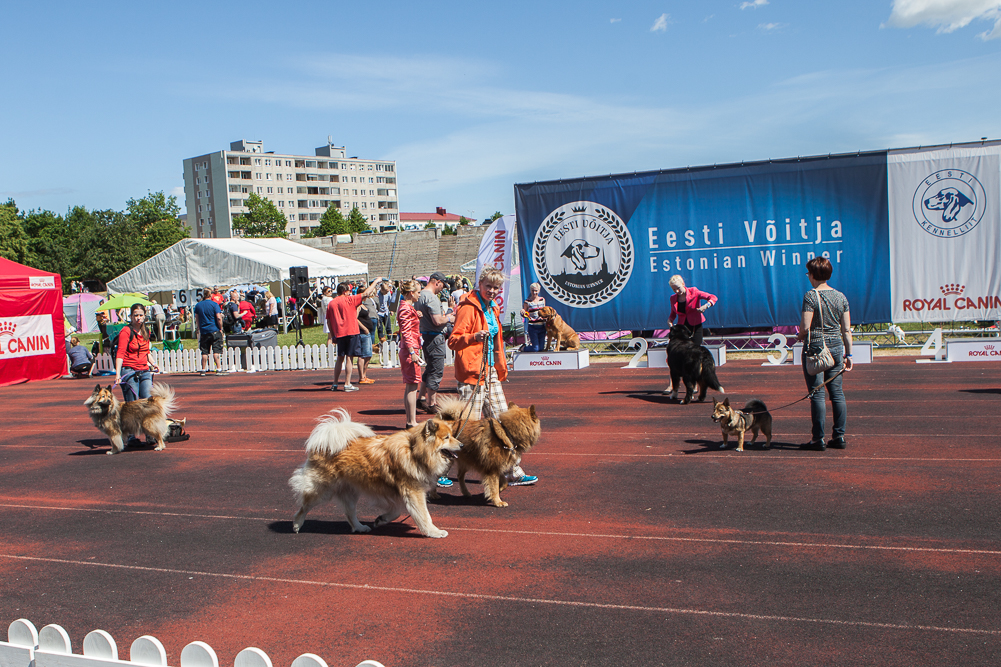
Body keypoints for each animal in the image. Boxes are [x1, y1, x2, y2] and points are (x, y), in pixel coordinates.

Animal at [289, 410, 460, 538]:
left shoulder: (399, 494)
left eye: (452, 435)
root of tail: (323, 445)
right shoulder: (413, 492)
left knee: (350, 513)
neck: (413, 451)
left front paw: (381, 520)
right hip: (321, 490)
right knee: (303, 507)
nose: (462, 445)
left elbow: (396, 512)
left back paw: (360, 527)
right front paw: (433, 532)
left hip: (350, 491)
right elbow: (424, 515)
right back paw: (296, 525)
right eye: (447, 438)